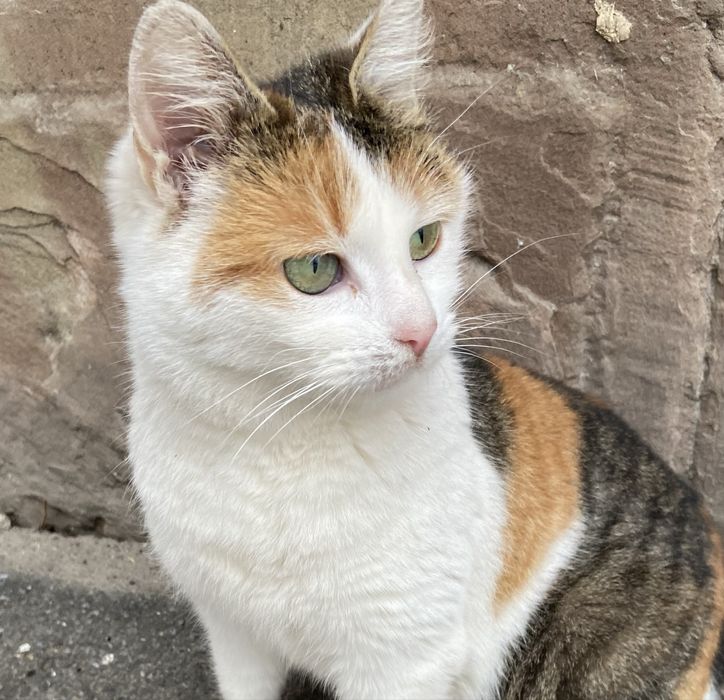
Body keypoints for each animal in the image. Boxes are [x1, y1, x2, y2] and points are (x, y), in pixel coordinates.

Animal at [106, 0, 724, 698]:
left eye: (425, 239)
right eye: (314, 269)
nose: (421, 330)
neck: (273, 443)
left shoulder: (403, 664)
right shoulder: (233, 634)